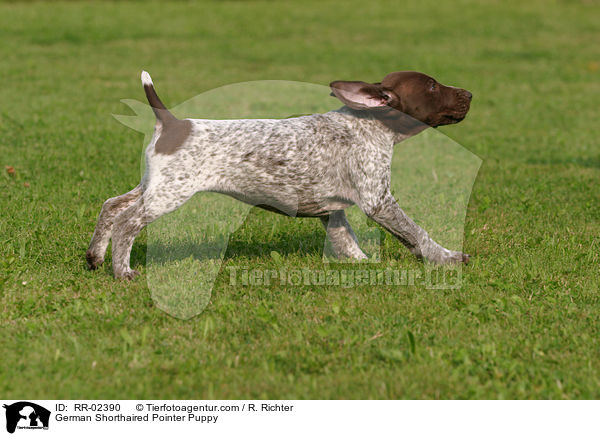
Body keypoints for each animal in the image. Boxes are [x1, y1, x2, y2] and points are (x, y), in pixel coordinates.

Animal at [88, 70, 474, 278]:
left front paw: (362, 263)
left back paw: (95, 257)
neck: (370, 125)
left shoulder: (332, 209)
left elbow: (346, 240)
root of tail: (171, 121)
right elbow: (417, 234)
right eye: (432, 87)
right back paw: (122, 271)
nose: (469, 93)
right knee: (127, 223)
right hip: (169, 193)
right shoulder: (378, 201)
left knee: (111, 206)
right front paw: (446, 257)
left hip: (153, 185)